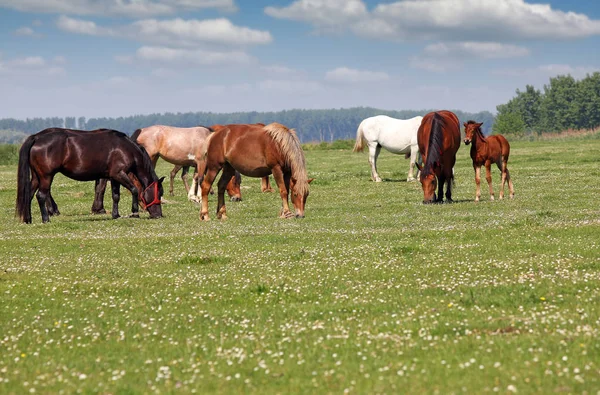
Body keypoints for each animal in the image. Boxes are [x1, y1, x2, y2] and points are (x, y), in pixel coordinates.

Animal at [16, 129, 164, 224]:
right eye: (159, 193)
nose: (159, 215)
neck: (125, 148)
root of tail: (36, 137)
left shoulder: (114, 177)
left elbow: (116, 196)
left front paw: (116, 215)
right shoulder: (119, 174)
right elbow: (134, 190)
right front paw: (135, 213)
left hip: (37, 177)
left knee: (29, 195)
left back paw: (28, 219)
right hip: (46, 177)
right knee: (41, 195)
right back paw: (46, 219)